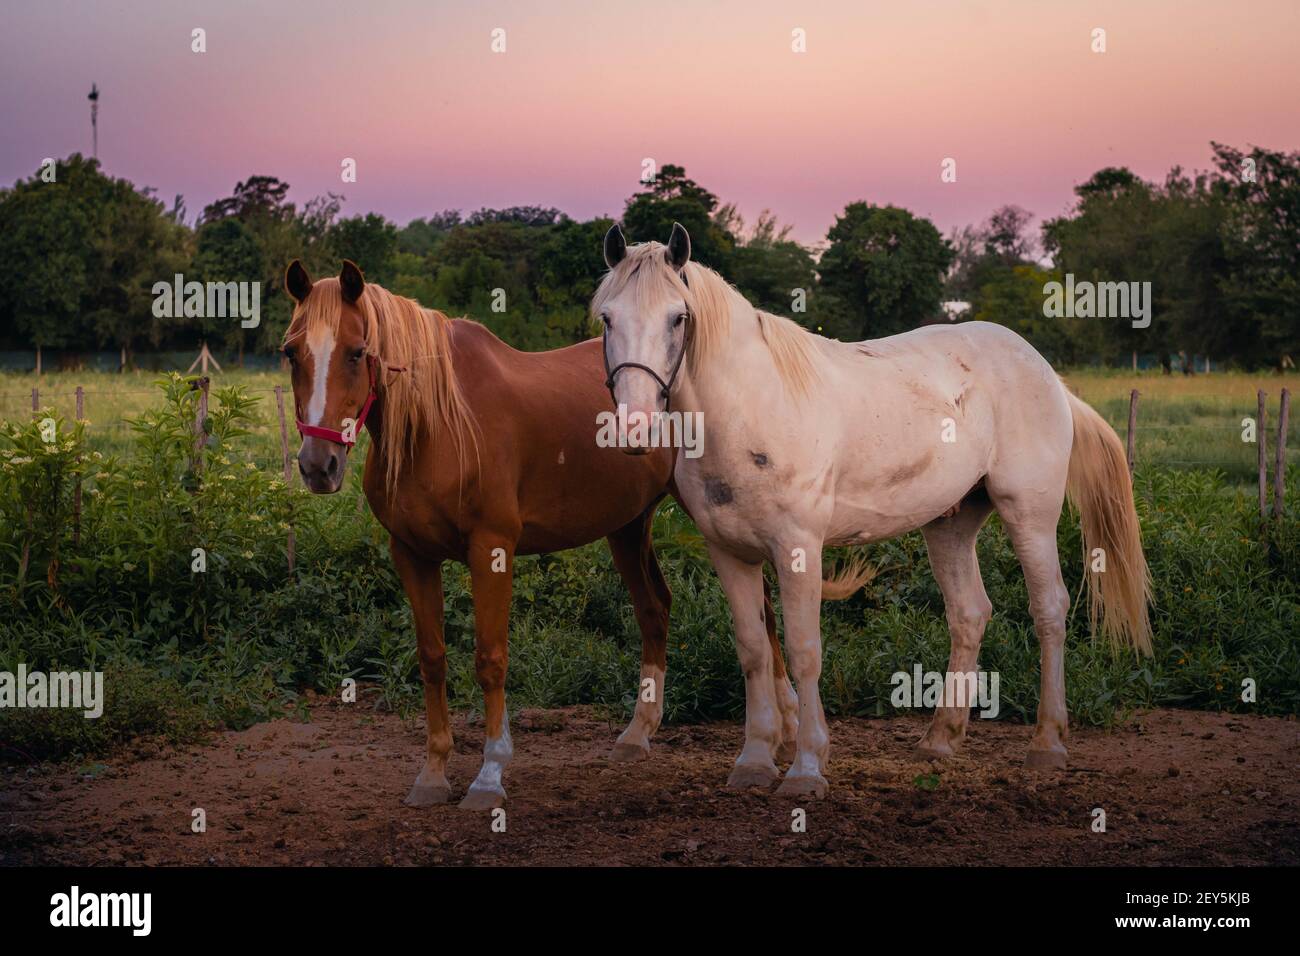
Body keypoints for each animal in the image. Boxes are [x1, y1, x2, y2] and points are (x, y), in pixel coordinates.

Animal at [279, 259, 791, 809]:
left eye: (357, 352)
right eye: (291, 352)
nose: (318, 466)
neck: (440, 425)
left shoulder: (492, 548)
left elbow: (490, 659)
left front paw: (489, 775)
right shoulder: (411, 555)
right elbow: (432, 658)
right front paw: (433, 773)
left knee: (762, 610)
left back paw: (784, 729)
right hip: (628, 525)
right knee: (655, 609)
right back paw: (638, 734)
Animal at [593, 223, 1152, 798]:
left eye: (677, 318)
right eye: (607, 317)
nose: (634, 425)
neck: (749, 409)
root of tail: (1048, 376)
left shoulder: (797, 549)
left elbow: (803, 650)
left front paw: (806, 768)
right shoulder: (729, 553)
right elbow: (752, 649)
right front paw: (753, 760)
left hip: (1030, 515)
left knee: (1050, 611)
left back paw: (1047, 742)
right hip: (950, 524)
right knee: (970, 614)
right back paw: (941, 738)